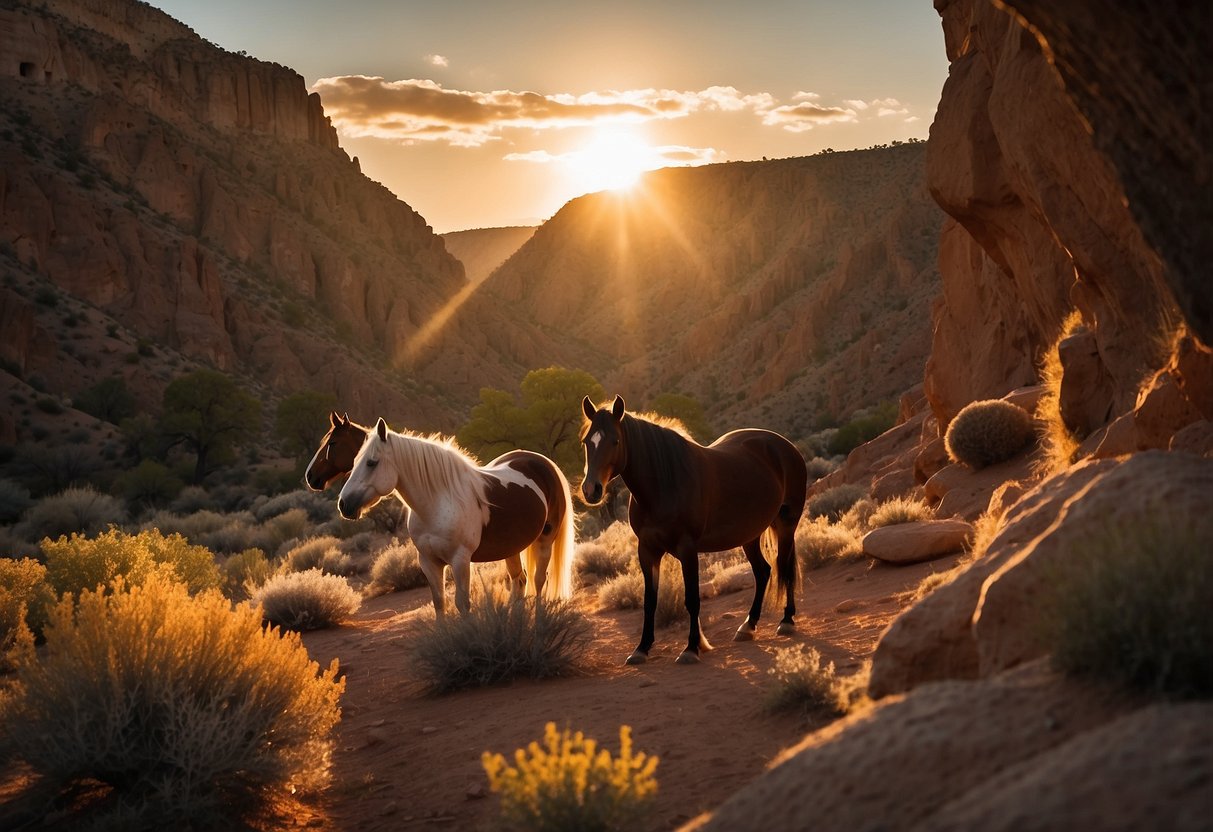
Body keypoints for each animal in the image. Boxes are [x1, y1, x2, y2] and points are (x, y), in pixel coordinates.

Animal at [334, 419, 574, 616]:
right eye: (354, 461)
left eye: (371, 462)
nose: (344, 504)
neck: (437, 504)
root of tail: (542, 462)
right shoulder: (429, 562)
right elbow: (439, 603)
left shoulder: (460, 560)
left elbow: (462, 604)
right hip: (512, 548)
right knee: (520, 581)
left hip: (545, 540)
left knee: (539, 580)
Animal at [579, 395, 805, 664]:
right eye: (586, 442)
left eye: (615, 441)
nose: (591, 490)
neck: (664, 484)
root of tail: (786, 446)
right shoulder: (647, 550)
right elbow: (650, 601)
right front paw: (642, 648)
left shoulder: (687, 549)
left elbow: (692, 599)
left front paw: (691, 648)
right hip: (750, 535)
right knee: (763, 572)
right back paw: (748, 627)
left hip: (787, 525)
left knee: (785, 567)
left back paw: (787, 620)